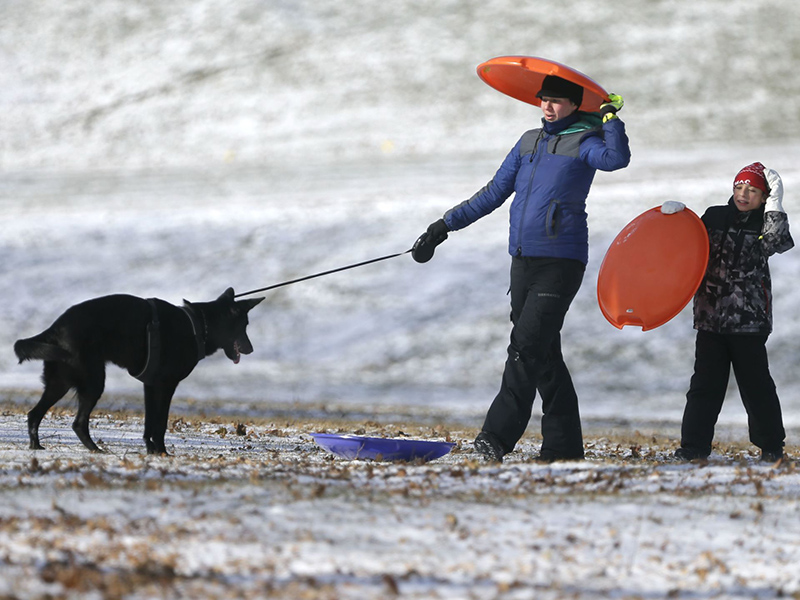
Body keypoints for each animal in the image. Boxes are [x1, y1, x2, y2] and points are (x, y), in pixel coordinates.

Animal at [13, 288, 262, 452]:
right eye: (244, 325)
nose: (251, 349)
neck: (199, 326)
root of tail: (56, 327)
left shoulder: (150, 386)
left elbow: (149, 423)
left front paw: (151, 450)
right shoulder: (166, 385)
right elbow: (160, 423)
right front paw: (162, 452)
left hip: (60, 383)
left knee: (34, 414)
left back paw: (36, 446)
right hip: (93, 382)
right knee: (78, 423)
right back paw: (95, 450)